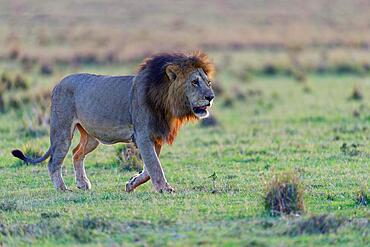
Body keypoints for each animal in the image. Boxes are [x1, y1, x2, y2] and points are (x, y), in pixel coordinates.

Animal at [11, 51, 215, 192]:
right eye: (194, 82)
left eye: (208, 82)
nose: (210, 97)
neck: (165, 100)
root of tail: (57, 84)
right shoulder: (143, 135)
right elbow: (154, 166)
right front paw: (164, 188)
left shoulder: (155, 136)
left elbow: (148, 169)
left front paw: (131, 183)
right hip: (62, 131)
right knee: (54, 161)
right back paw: (62, 189)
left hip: (91, 138)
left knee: (77, 153)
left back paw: (82, 184)